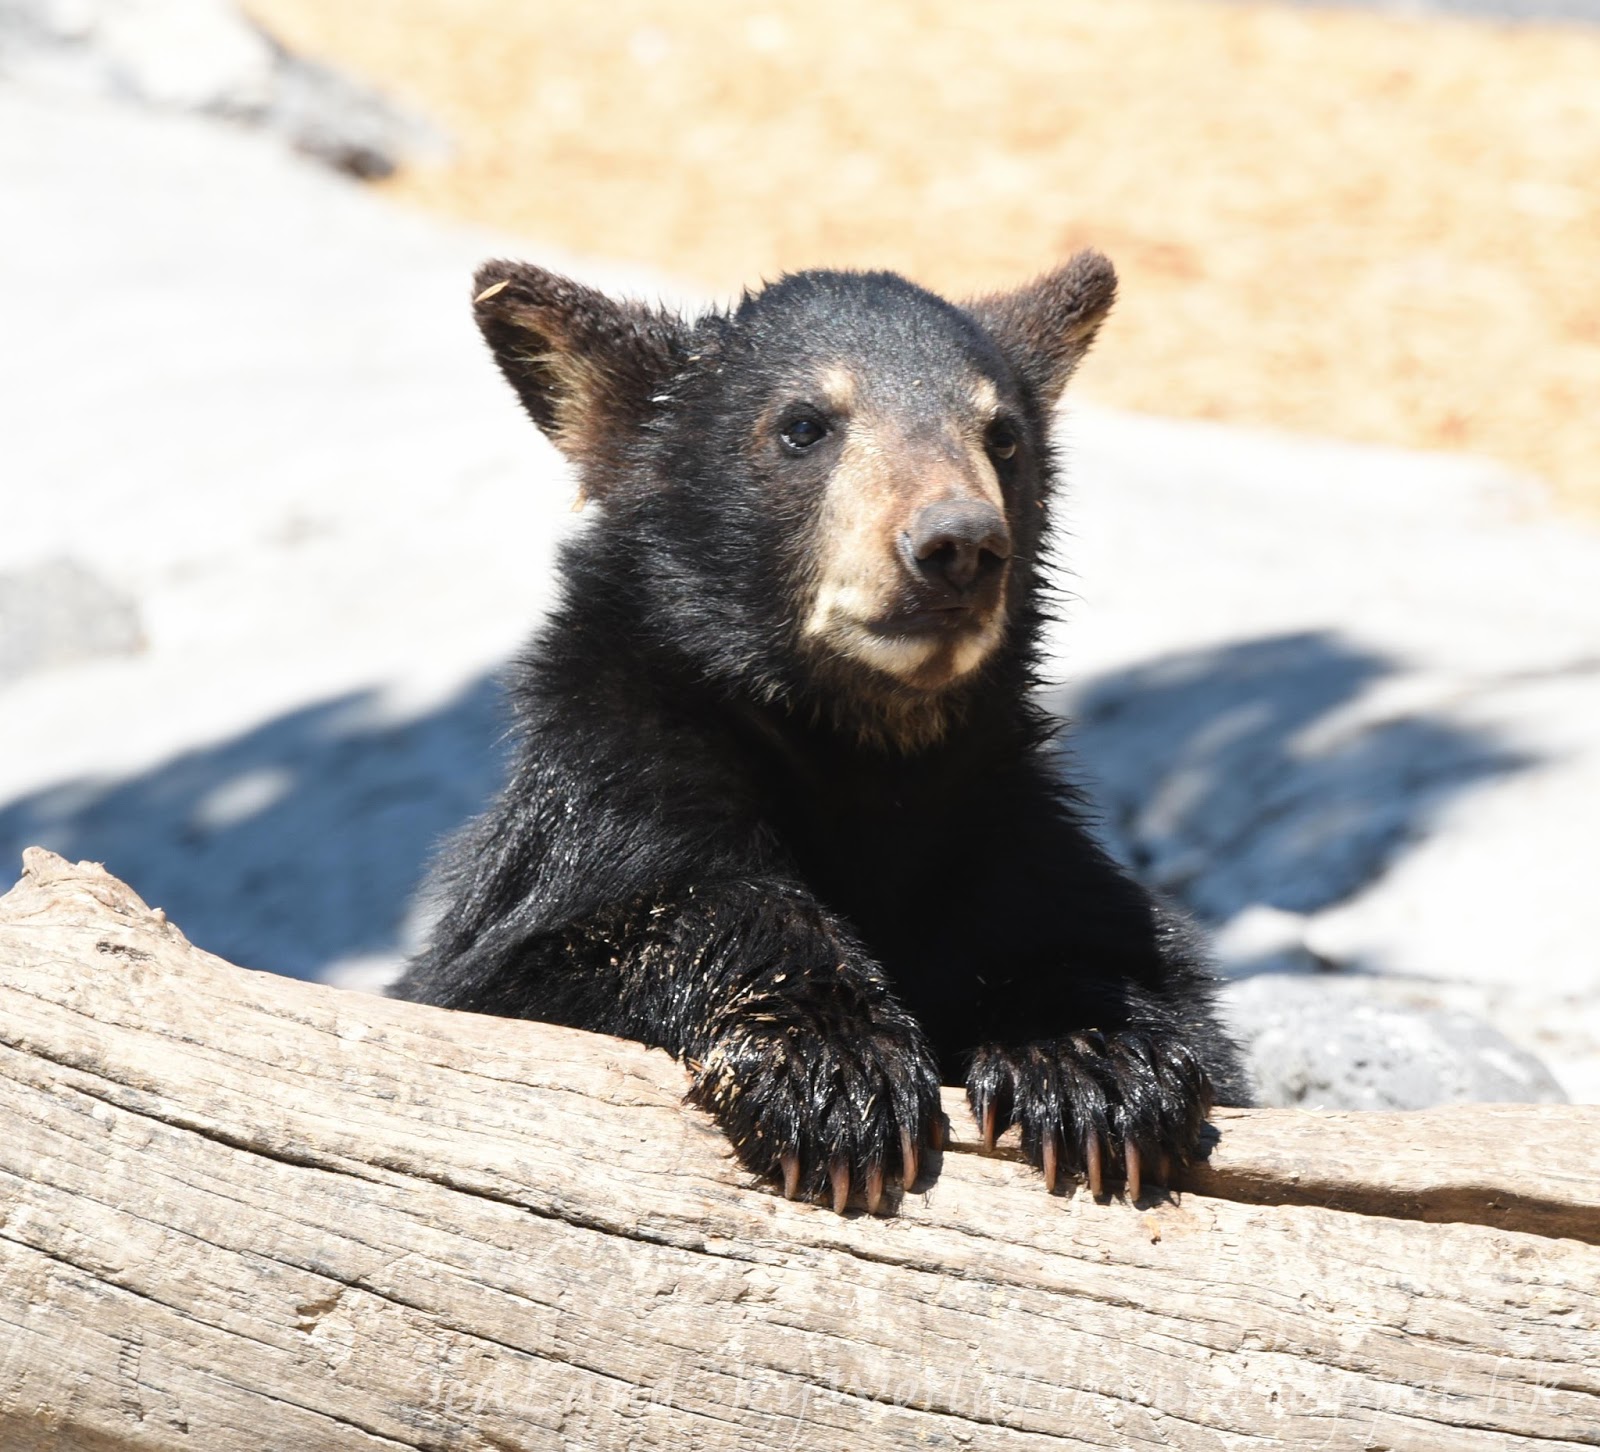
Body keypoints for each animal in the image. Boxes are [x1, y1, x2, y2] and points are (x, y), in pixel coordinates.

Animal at [392, 252, 1248, 1214]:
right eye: (805, 426)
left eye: (1002, 435)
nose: (958, 543)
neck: (863, 754)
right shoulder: (605, 795)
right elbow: (599, 935)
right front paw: (832, 1068)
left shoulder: (1004, 828)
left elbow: (1120, 957)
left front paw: (1095, 1064)